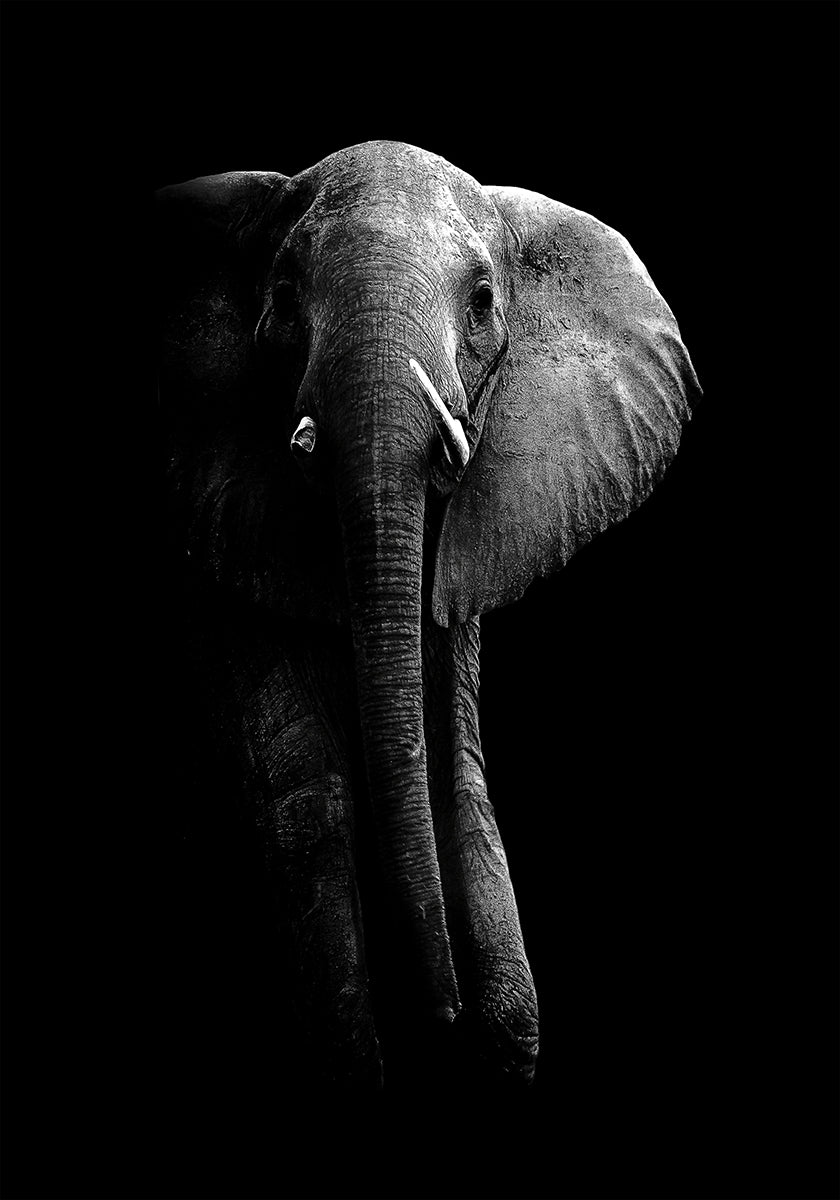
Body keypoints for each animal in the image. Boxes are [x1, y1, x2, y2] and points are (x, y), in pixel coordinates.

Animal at [156, 139, 701, 1092]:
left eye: (482, 302)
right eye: (284, 295)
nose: (440, 1022)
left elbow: (453, 756)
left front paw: (498, 1040)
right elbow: (298, 775)